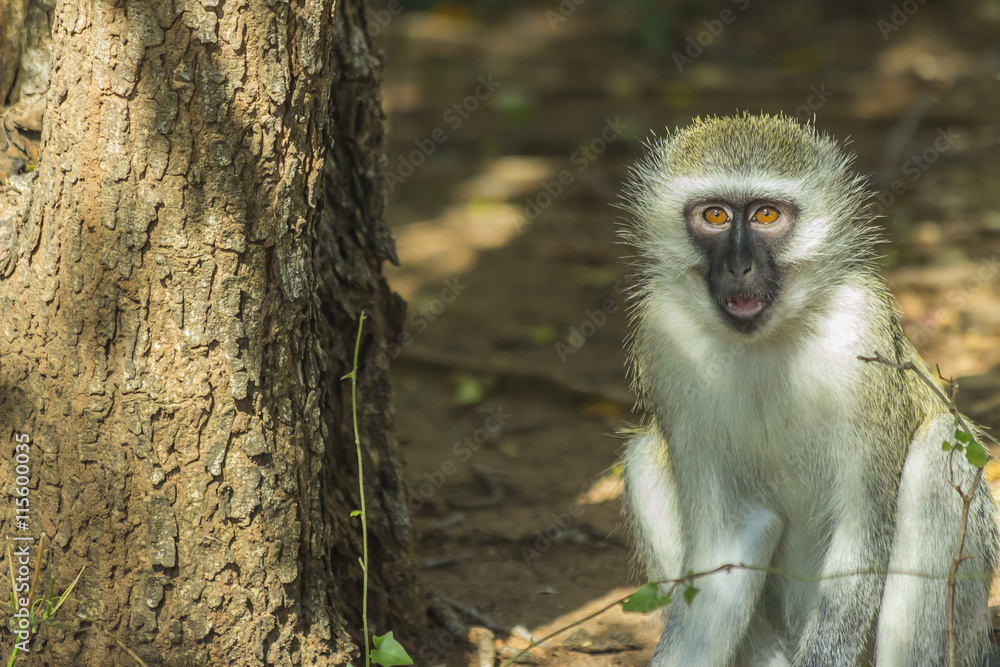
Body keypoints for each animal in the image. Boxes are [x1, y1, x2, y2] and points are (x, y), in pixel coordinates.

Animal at [618, 113, 998, 666]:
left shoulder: (859, 327)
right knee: (645, 456)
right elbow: (725, 551)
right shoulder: (664, 335)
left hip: (964, 630)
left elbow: (862, 535)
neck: (765, 340)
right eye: (714, 215)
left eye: (766, 215)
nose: (738, 265)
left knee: (939, 446)